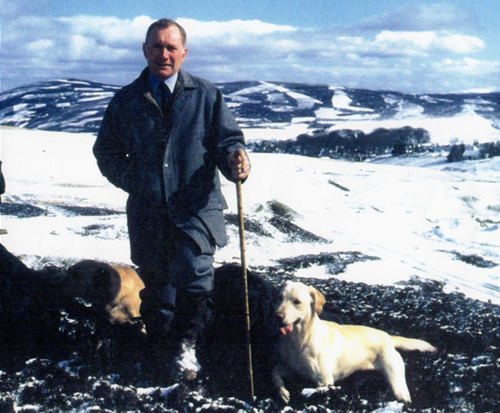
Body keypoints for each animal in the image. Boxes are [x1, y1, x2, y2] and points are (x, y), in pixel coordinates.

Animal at [272, 280, 436, 402]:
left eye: (297, 301)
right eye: (279, 297)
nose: (277, 316)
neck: (299, 340)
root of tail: (387, 336)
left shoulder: (324, 381)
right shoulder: (290, 368)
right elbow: (274, 373)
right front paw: (283, 392)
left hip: (397, 382)